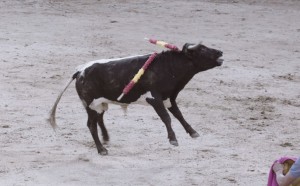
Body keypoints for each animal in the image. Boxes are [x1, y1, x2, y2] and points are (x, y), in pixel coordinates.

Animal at [48, 42, 223, 155]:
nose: (220, 52)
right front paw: (173, 139)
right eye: (202, 49)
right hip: (91, 105)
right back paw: (102, 150)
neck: (169, 66)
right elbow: (166, 117)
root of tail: (80, 71)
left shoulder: (170, 98)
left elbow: (179, 115)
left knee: (99, 120)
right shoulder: (154, 98)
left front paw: (193, 132)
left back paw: (106, 138)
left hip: (101, 103)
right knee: (91, 124)